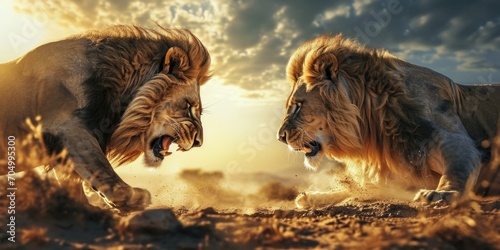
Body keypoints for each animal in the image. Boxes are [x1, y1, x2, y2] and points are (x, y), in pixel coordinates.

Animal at [0, 24, 211, 213]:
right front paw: (131, 197)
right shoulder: (66, 125)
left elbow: (73, 180)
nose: (199, 143)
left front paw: (84, 207)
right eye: (189, 107)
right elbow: (99, 166)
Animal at [278, 34, 500, 208]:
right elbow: (357, 190)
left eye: (298, 105)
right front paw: (312, 197)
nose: (280, 137)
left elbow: (457, 168)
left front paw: (443, 193)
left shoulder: (452, 138)